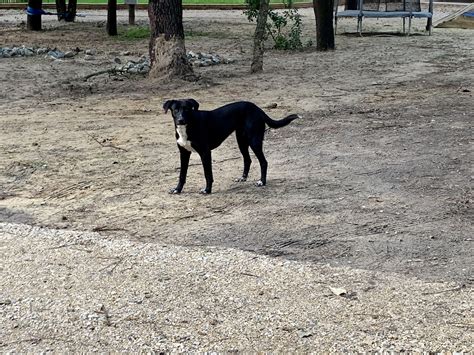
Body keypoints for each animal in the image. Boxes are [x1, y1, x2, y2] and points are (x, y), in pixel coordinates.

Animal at [165, 99, 298, 195]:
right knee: (248, 160)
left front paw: (207, 190)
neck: (189, 126)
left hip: (254, 141)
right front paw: (177, 189)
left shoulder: (205, 153)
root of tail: (257, 109)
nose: (181, 120)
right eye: (175, 110)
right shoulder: (184, 153)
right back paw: (243, 178)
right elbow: (182, 174)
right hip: (241, 141)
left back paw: (262, 182)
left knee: (263, 162)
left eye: (187, 109)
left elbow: (208, 174)